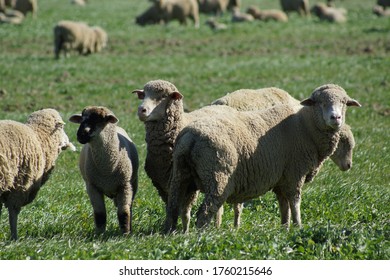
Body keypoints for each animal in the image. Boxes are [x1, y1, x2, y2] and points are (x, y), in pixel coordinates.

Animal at [0, 108, 75, 240]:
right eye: (61, 127)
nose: (68, 141)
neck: (39, 138)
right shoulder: (20, 186)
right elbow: (13, 213)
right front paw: (14, 237)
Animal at [69, 106, 139, 235]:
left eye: (100, 119)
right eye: (81, 119)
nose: (81, 135)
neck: (106, 169)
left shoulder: (125, 185)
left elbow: (124, 212)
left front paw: (126, 234)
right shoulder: (92, 186)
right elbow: (100, 214)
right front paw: (99, 234)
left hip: (133, 184)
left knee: (129, 207)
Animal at [163, 84, 362, 233]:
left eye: (344, 102)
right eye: (319, 103)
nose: (335, 118)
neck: (306, 126)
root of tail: (190, 135)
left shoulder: (282, 179)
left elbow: (284, 206)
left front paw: (285, 228)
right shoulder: (294, 174)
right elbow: (295, 202)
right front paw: (298, 226)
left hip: (181, 176)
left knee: (173, 208)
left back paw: (171, 233)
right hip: (218, 177)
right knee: (204, 214)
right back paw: (203, 238)